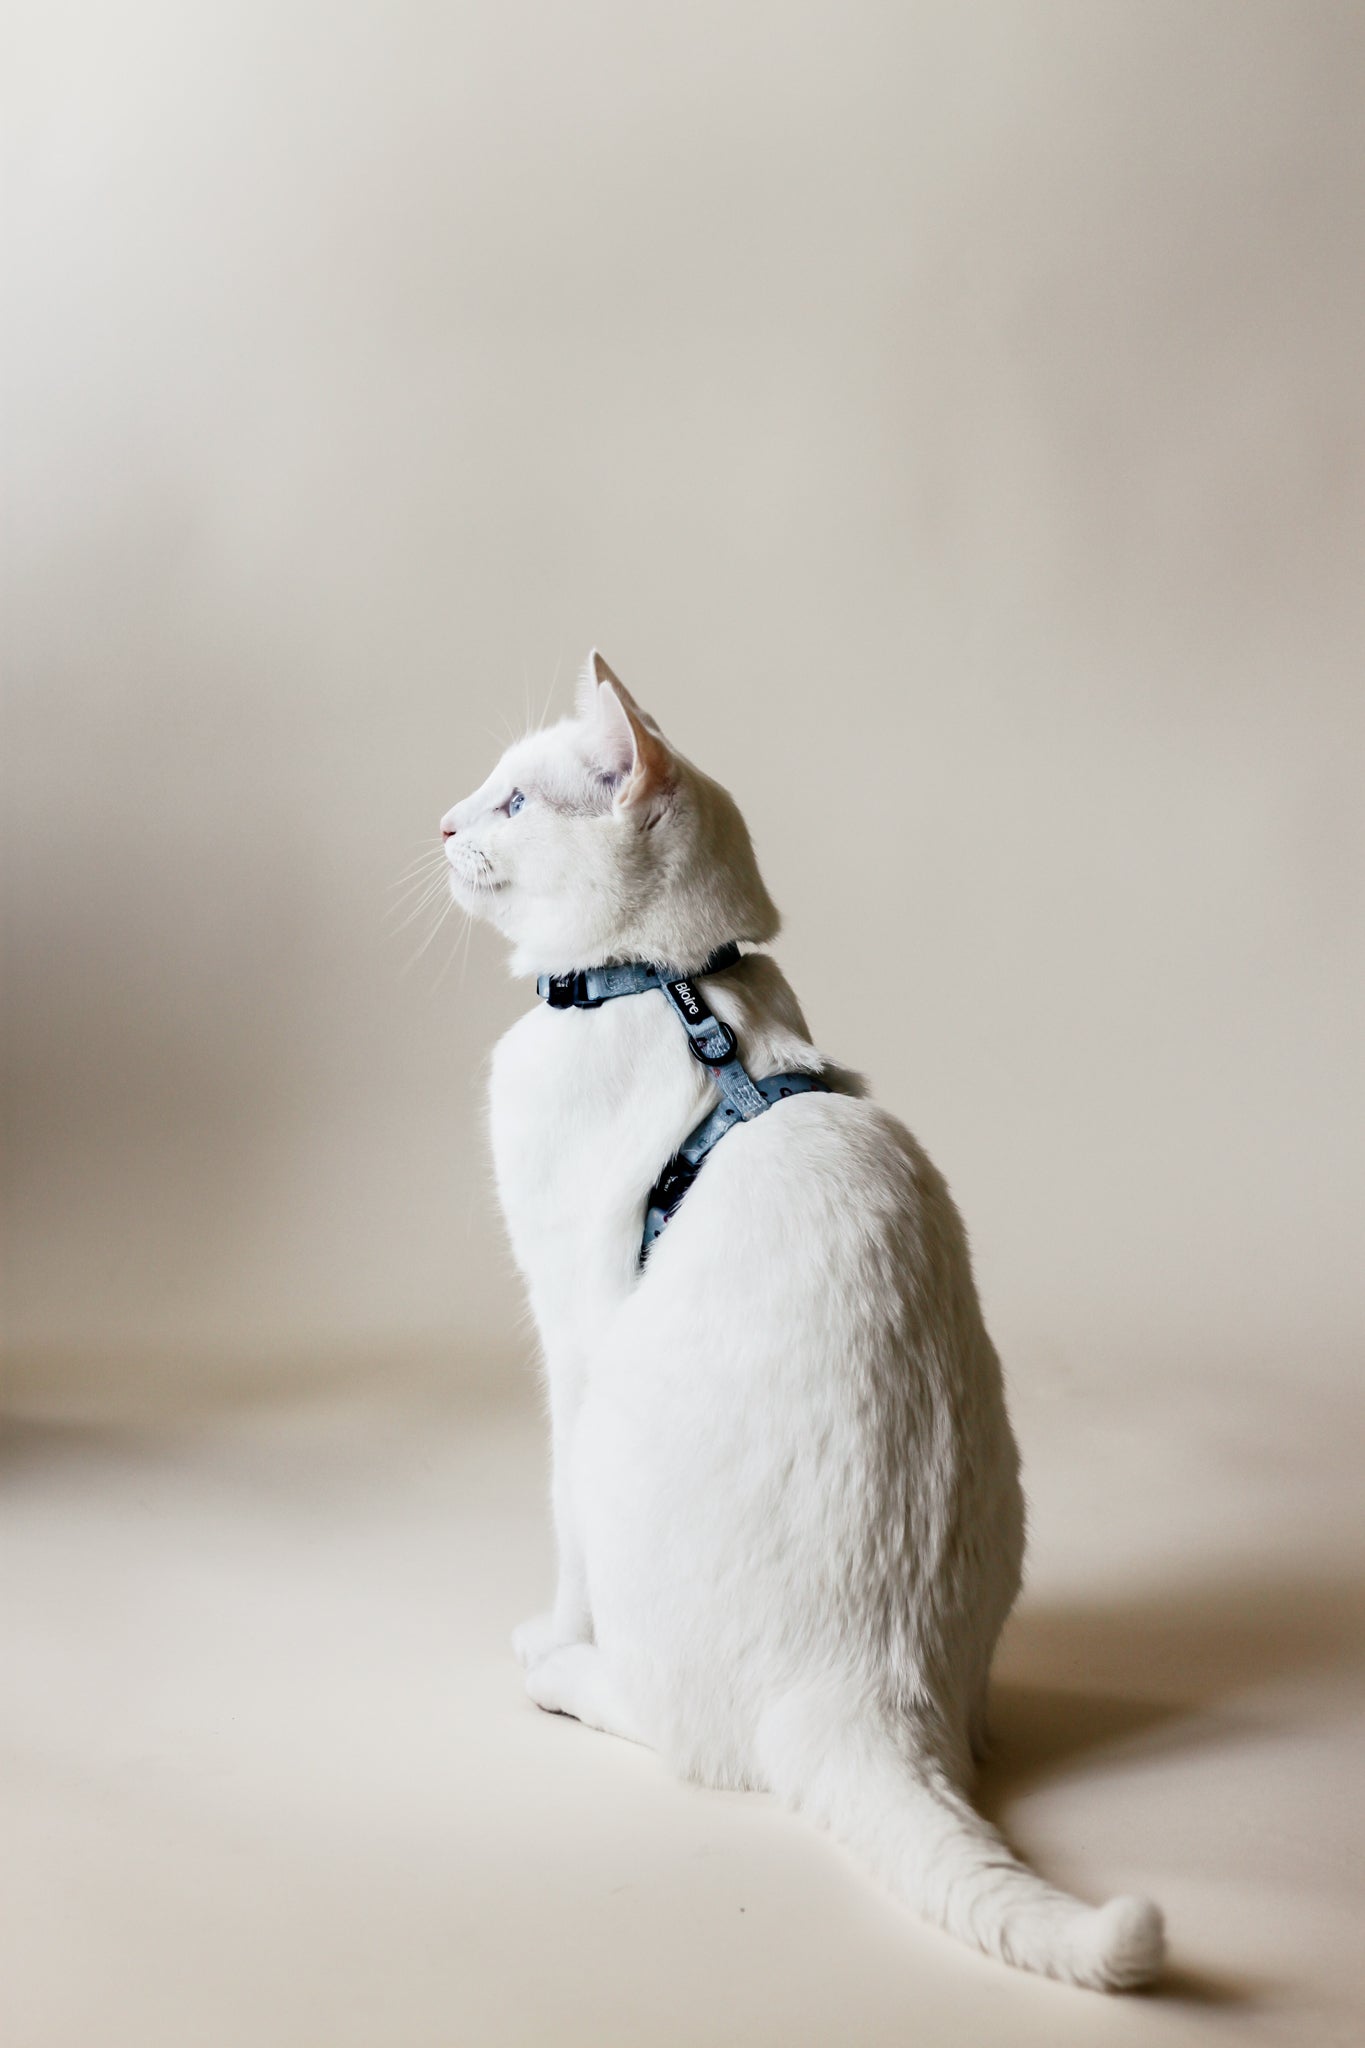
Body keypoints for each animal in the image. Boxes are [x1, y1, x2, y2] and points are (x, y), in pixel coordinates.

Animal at [444, 651, 1170, 1982]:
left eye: (513, 802)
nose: (442, 822)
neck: (670, 988)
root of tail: (871, 1695)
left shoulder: (569, 1334)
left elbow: (560, 1530)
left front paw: (552, 1628)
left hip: (617, 1434)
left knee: (683, 1728)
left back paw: (563, 1669)